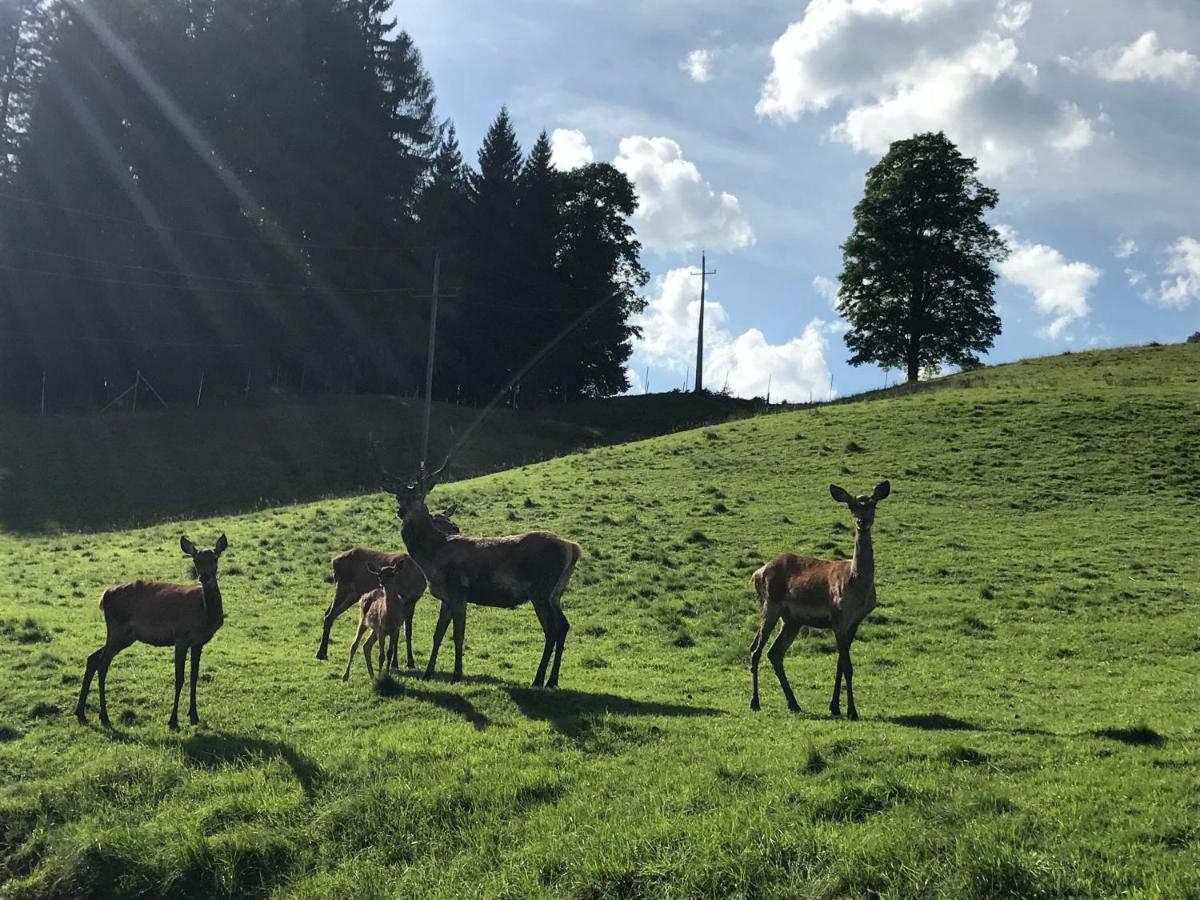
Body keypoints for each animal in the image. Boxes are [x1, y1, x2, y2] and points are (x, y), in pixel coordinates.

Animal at [74, 535, 229, 734]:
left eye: (215, 558)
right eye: (196, 560)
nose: (204, 577)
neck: (204, 614)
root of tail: (104, 595)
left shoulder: (198, 642)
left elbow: (194, 677)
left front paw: (194, 716)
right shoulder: (180, 637)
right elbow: (179, 679)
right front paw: (173, 721)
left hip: (126, 636)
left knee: (92, 657)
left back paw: (80, 713)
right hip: (116, 628)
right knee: (102, 664)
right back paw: (104, 717)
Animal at [314, 504, 458, 667]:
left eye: (447, 518)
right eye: (436, 520)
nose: (456, 528)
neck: (416, 574)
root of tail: (334, 561)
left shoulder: (412, 600)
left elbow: (408, 631)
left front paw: (410, 662)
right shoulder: (401, 597)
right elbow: (398, 632)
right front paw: (395, 662)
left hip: (353, 594)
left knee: (330, 613)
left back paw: (323, 652)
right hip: (343, 586)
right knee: (329, 615)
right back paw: (321, 653)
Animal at [386, 460, 583, 686]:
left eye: (419, 495)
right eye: (398, 496)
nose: (402, 511)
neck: (432, 556)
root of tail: (573, 548)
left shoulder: (458, 592)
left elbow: (458, 635)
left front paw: (457, 675)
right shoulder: (445, 597)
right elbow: (437, 635)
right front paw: (428, 674)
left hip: (540, 588)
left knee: (551, 630)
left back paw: (538, 680)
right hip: (556, 593)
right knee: (564, 626)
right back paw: (552, 680)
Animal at [748, 482, 892, 724]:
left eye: (873, 504)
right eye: (851, 505)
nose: (862, 521)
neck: (857, 585)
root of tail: (757, 573)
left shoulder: (854, 622)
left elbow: (840, 663)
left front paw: (834, 707)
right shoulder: (838, 616)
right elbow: (848, 666)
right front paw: (852, 711)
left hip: (792, 620)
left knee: (775, 653)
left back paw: (794, 704)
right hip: (770, 606)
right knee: (756, 650)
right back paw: (755, 703)